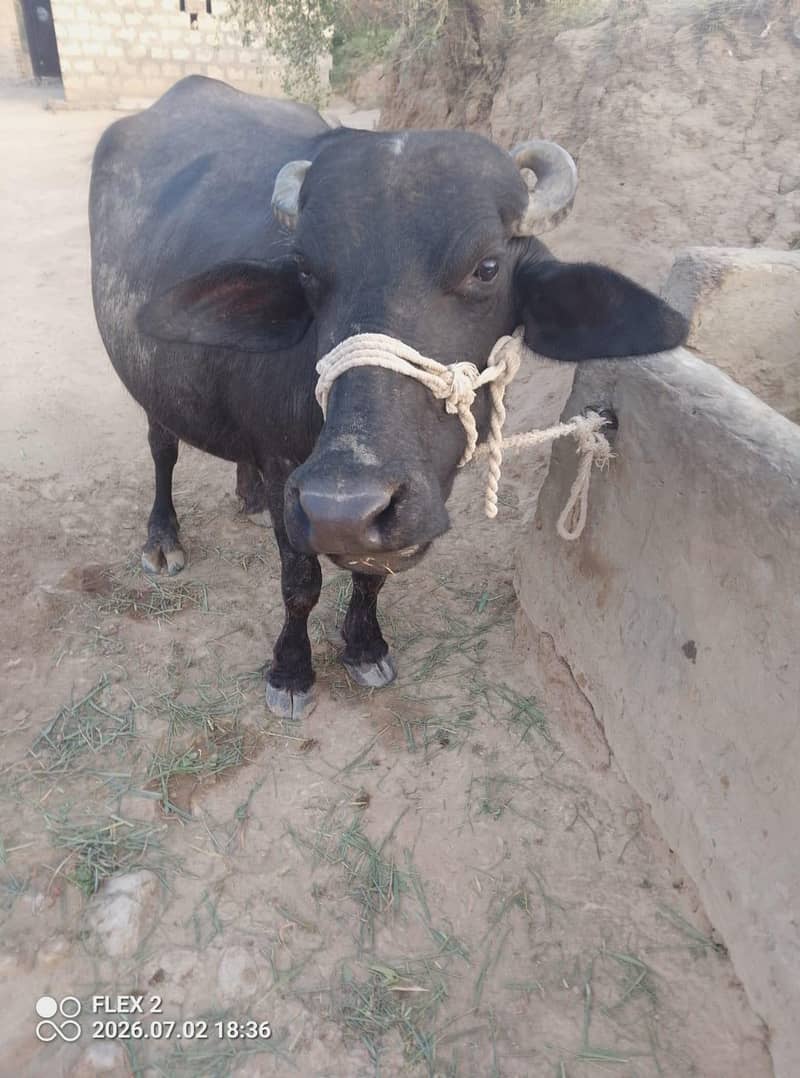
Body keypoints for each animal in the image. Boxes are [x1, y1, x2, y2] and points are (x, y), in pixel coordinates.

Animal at [89, 75, 686, 719]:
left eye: (487, 267)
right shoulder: (286, 471)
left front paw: (365, 645)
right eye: (307, 272)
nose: (344, 507)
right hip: (149, 384)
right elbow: (300, 582)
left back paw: (245, 496)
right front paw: (291, 671)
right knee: (163, 447)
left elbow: (371, 574)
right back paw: (162, 539)